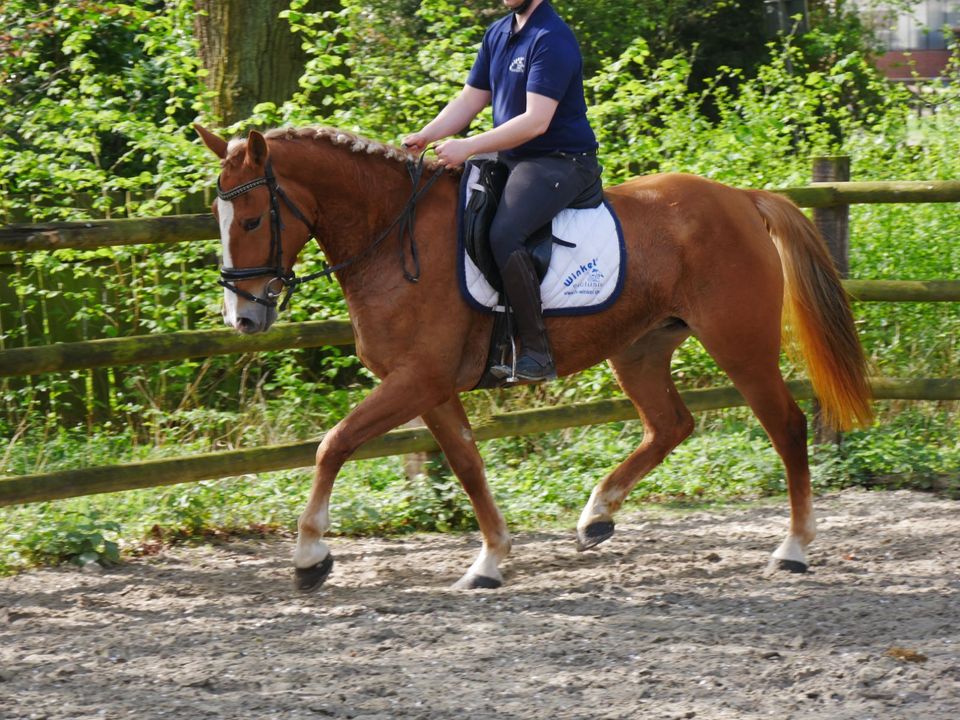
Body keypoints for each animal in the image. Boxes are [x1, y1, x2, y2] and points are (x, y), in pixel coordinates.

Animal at [195, 126, 872, 592]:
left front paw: (310, 557)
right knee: (671, 425)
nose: (244, 318)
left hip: (740, 345)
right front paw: (491, 561)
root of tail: (742, 198)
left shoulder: (416, 380)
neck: (392, 237)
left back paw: (793, 549)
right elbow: (468, 466)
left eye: (251, 220)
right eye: (219, 218)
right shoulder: (430, 388)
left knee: (786, 426)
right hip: (640, 349)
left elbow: (332, 445)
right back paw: (597, 515)